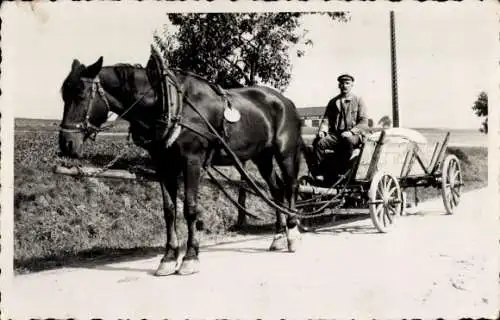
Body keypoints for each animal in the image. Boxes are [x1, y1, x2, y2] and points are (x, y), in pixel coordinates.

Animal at [57, 56, 302, 276]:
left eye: (80, 94)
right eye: (63, 95)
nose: (66, 144)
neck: (169, 104)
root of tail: (285, 101)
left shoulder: (191, 162)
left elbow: (190, 209)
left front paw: (190, 257)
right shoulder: (163, 164)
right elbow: (169, 210)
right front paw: (168, 258)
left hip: (285, 153)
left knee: (290, 186)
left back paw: (292, 233)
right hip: (262, 157)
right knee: (276, 190)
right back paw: (278, 236)